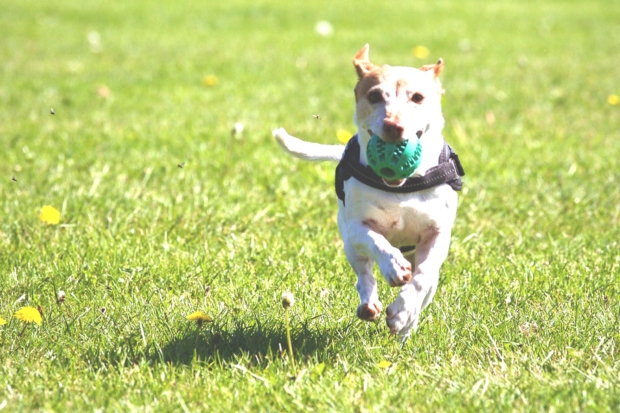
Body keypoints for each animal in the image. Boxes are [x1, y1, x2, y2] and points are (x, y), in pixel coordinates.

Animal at [272, 43, 464, 336]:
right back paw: (369, 303)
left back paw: (407, 327)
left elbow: (422, 277)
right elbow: (377, 242)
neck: (402, 187)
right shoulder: (356, 227)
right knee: (363, 273)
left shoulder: (438, 233)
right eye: (374, 96)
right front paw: (393, 267)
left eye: (418, 97)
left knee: (426, 286)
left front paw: (402, 313)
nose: (394, 126)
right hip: (349, 244)